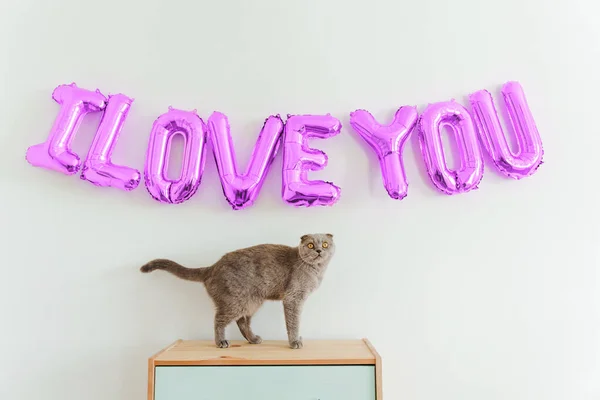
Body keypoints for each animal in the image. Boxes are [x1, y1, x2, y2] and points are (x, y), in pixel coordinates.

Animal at [142, 233, 336, 348]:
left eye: (326, 244)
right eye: (310, 245)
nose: (319, 250)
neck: (316, 271)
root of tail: (212, 267)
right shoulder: (293, 298)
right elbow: (293, 323)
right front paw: (295, 342)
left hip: (251, 302)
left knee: (242, 322)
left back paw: (253, 339)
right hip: (235, 302)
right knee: (218, 320)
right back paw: (221, 342)